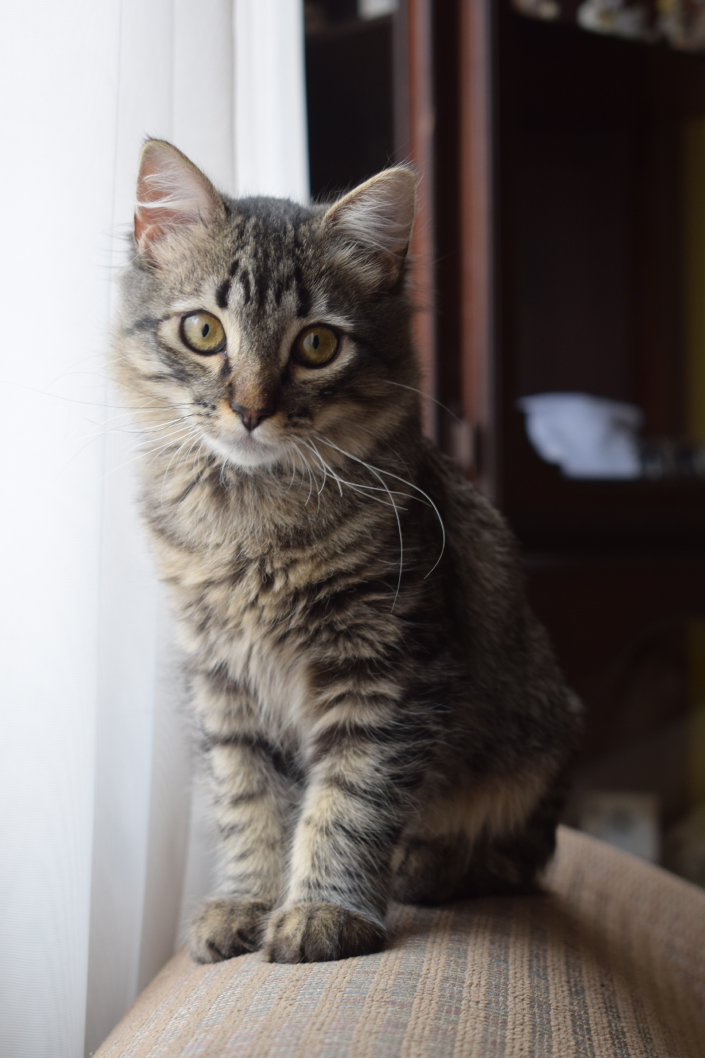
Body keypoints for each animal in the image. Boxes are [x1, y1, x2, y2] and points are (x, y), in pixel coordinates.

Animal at [112, 140, 580, 969]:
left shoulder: (386, 670)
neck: (252, 523)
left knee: (514, 860)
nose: (250, 410)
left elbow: (347, 802)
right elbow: (250, 803)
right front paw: (248, 901)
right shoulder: (224, 685)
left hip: (537, 742)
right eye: (203, 332)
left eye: (317, 345)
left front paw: (322, 911)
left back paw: (426, 864)